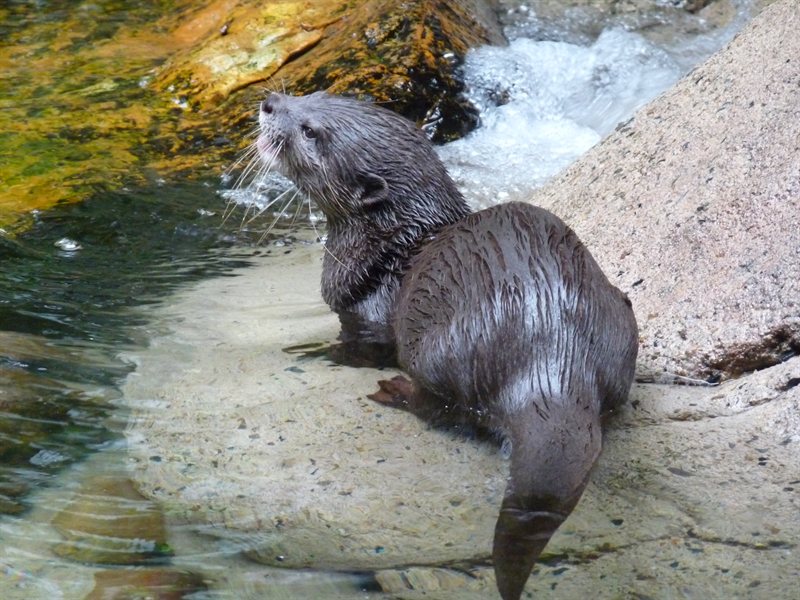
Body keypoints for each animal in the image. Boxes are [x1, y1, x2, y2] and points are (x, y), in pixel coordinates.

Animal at [256, 91, 638, 600]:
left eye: (310, 130)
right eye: (315, 96)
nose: (268, 101)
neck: (392, 250)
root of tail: (550, 362)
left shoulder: (367, 312)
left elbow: (356, 350)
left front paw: (310, 351)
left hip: (439, 351)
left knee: (441, 406)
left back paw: (396, 393)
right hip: (619, 316)